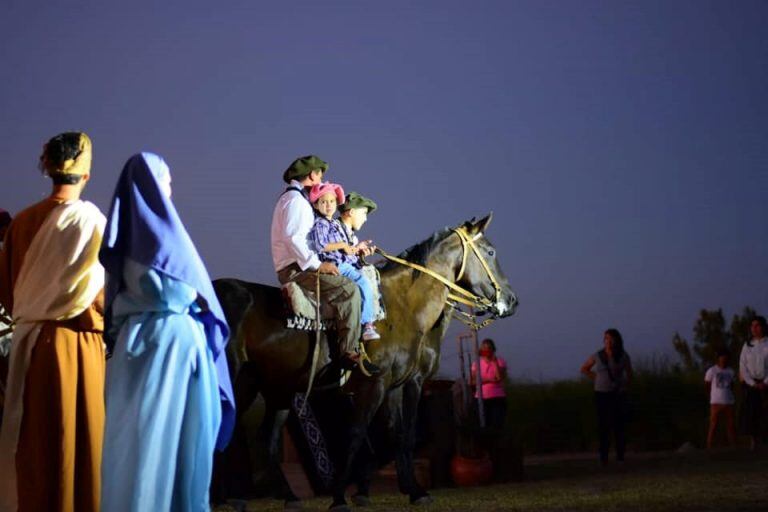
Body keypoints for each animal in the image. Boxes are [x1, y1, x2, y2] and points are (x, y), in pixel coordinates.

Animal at [213, 214, 520, 510]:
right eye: (490, 251)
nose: (511, 300)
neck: (402, 307)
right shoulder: (380, 385)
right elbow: (358, 435)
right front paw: (340, 496)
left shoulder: (395, 386)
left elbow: (398, 436)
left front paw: (412, 491)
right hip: (239, 383)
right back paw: (232, 497)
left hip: (273, 391)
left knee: (263, 437)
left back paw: (285, 497)